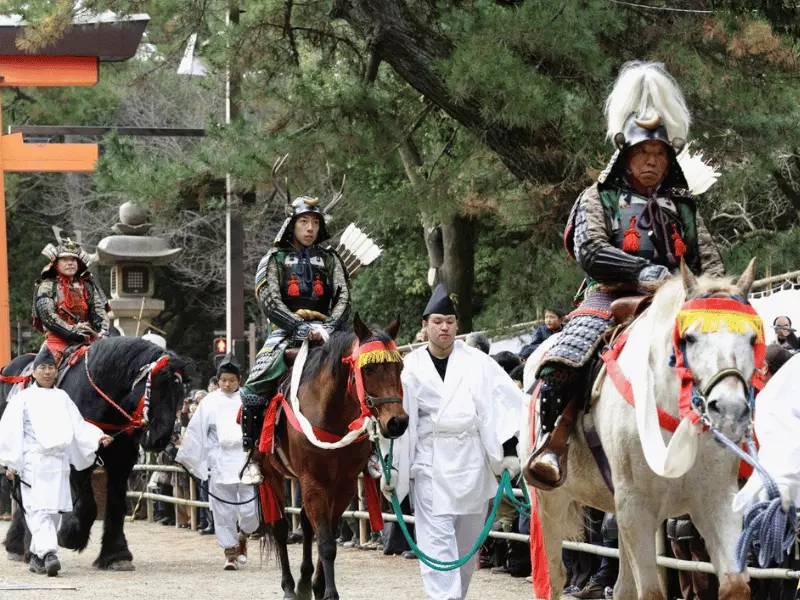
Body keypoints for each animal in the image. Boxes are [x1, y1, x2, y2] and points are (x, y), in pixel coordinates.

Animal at [0, 336, 188, 568]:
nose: (160, 437)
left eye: (180, 392)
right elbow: (88, 504)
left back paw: (18, 546)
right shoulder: (75, 458)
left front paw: (117, 555)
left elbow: (116, 503)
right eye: (158, 387)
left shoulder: (122, 458)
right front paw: (70, 535)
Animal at [260, 314, 406, 600]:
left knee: (306, 525)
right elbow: (326, 542)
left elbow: (325, 533)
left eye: (400, 367)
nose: (397, 422)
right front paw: (329, 592)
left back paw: (304, 582)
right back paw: (288, 586)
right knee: (281, 529)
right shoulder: (313, 480)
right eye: (368, 369)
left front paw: (318, 586)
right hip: (272, 473)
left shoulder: (342, 485)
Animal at [520, 262, 760, 600]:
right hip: (549, 499)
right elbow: (650, 593)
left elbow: (735, 586)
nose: (729, 409)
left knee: (621, 587)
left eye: (751, 338)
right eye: (690, 338)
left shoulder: (717, 500)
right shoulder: (635, 506)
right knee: (554, 577)